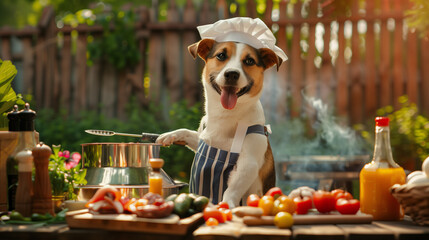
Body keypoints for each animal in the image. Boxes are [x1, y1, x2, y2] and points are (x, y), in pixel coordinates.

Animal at [155, 38, 282, 208]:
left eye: (249, 61)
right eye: (221, 55)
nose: (232, 74)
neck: (225, 115)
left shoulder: (249, 163)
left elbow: (233, 188)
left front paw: (226, 203)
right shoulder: (202, 139)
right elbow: (188, 133)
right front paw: (171, 135)